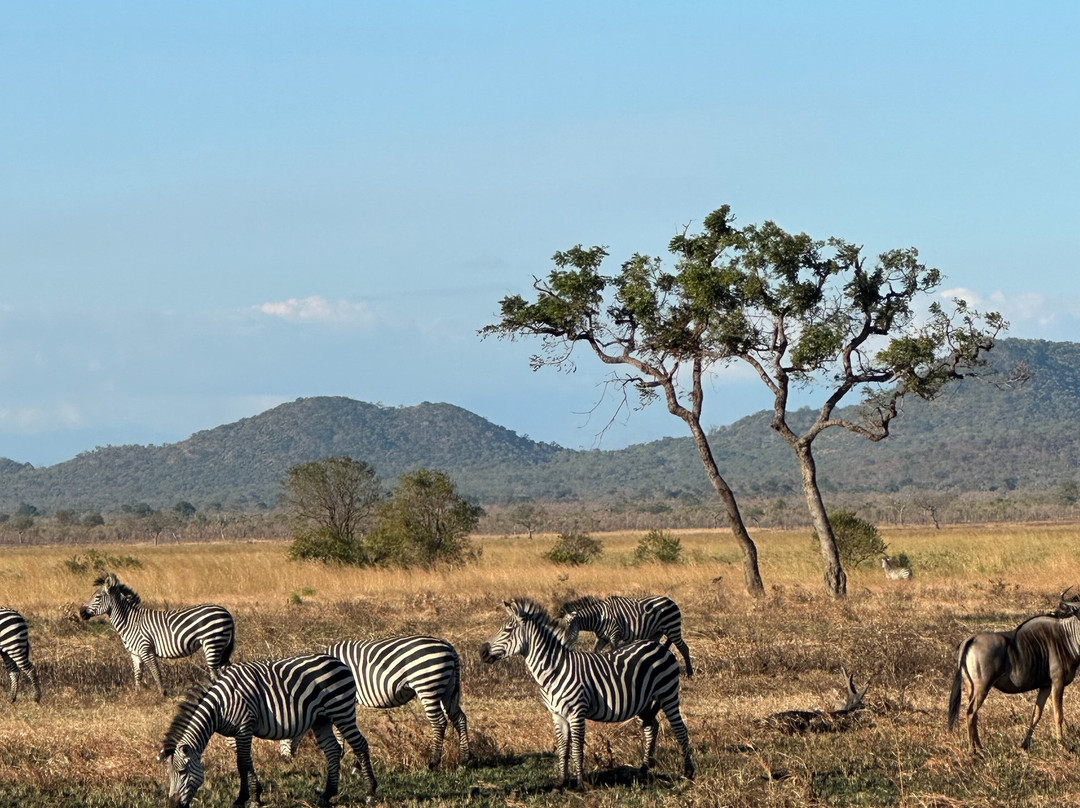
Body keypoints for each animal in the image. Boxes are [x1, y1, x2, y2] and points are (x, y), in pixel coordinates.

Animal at [81, 574, 237, 695]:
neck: (129, 622)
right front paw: (137, 694)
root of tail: (226, 612)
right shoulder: (135, 653)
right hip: (221, 646)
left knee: (216, 673)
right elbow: (138, 674)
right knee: (226, 670)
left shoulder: (146, 649)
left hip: (212, 642)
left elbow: (156, 672)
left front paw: (163, 693)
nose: (81, 612)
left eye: (98, 597)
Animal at [157, 652, 378, 808]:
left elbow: (242, 763)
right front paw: (252, 796)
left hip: (341, 710)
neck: (219, 707)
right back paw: (327, 794)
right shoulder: (233, 734)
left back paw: (370, 793)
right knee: (332, 750)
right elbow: (246, 763)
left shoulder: (244, 725)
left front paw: (247, 798)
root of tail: (339, 661)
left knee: (360, 745)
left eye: (182, 772)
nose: (173, 805)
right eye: (169, 775)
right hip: (321, 719)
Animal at [282, 635, 473, 769]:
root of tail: (448, 647)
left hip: (427, 684)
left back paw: (433, 761)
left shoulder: (338, 699)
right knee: (459, 717)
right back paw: (464, 758)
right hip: (448, 688)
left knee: (439, 722)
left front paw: (342, 755)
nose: (283, 760)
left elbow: (339, 730)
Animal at [557, 591, 691, 674]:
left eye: (566, 627)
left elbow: (614, 651)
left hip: (672, 628)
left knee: (684, 648)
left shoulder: (614, 634)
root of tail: (671, 600)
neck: (599, 617)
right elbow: (595, 651)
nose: (561, 645)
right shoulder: (602, 638)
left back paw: (690, 673)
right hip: (656, 633)